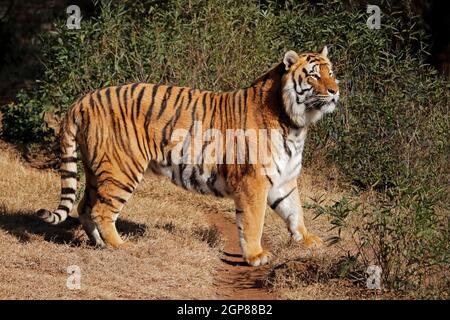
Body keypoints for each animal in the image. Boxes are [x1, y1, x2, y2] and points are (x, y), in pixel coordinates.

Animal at [38, 46, 340, 266]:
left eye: (332, 73)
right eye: (313, 75)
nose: (336, 91)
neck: (295, 124)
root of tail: (83, 99)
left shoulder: (284, 179)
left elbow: (295, 212)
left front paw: (308, 240)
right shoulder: (253, 182)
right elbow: (254, 222)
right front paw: (256, 256)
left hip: (96, 170)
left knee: (83, 206)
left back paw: (98, 243)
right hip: (121, 169)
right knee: (102, 210)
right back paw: (120, 246)